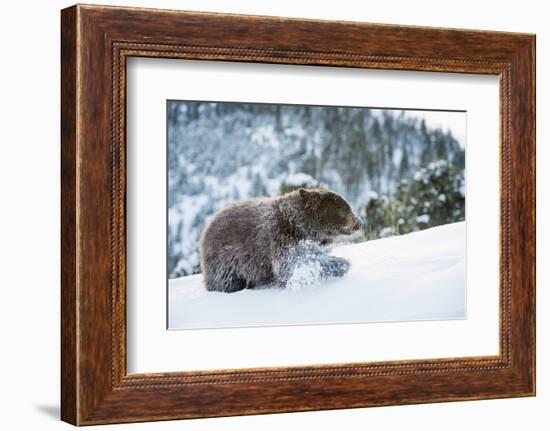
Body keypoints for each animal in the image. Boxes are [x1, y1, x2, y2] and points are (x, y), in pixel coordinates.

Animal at [201, 189, 364, 294]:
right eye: (345, 209)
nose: (359, 222)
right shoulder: (280, 238)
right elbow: (289, 266)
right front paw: (341, 263)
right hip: (226, 263)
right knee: (227, 281)